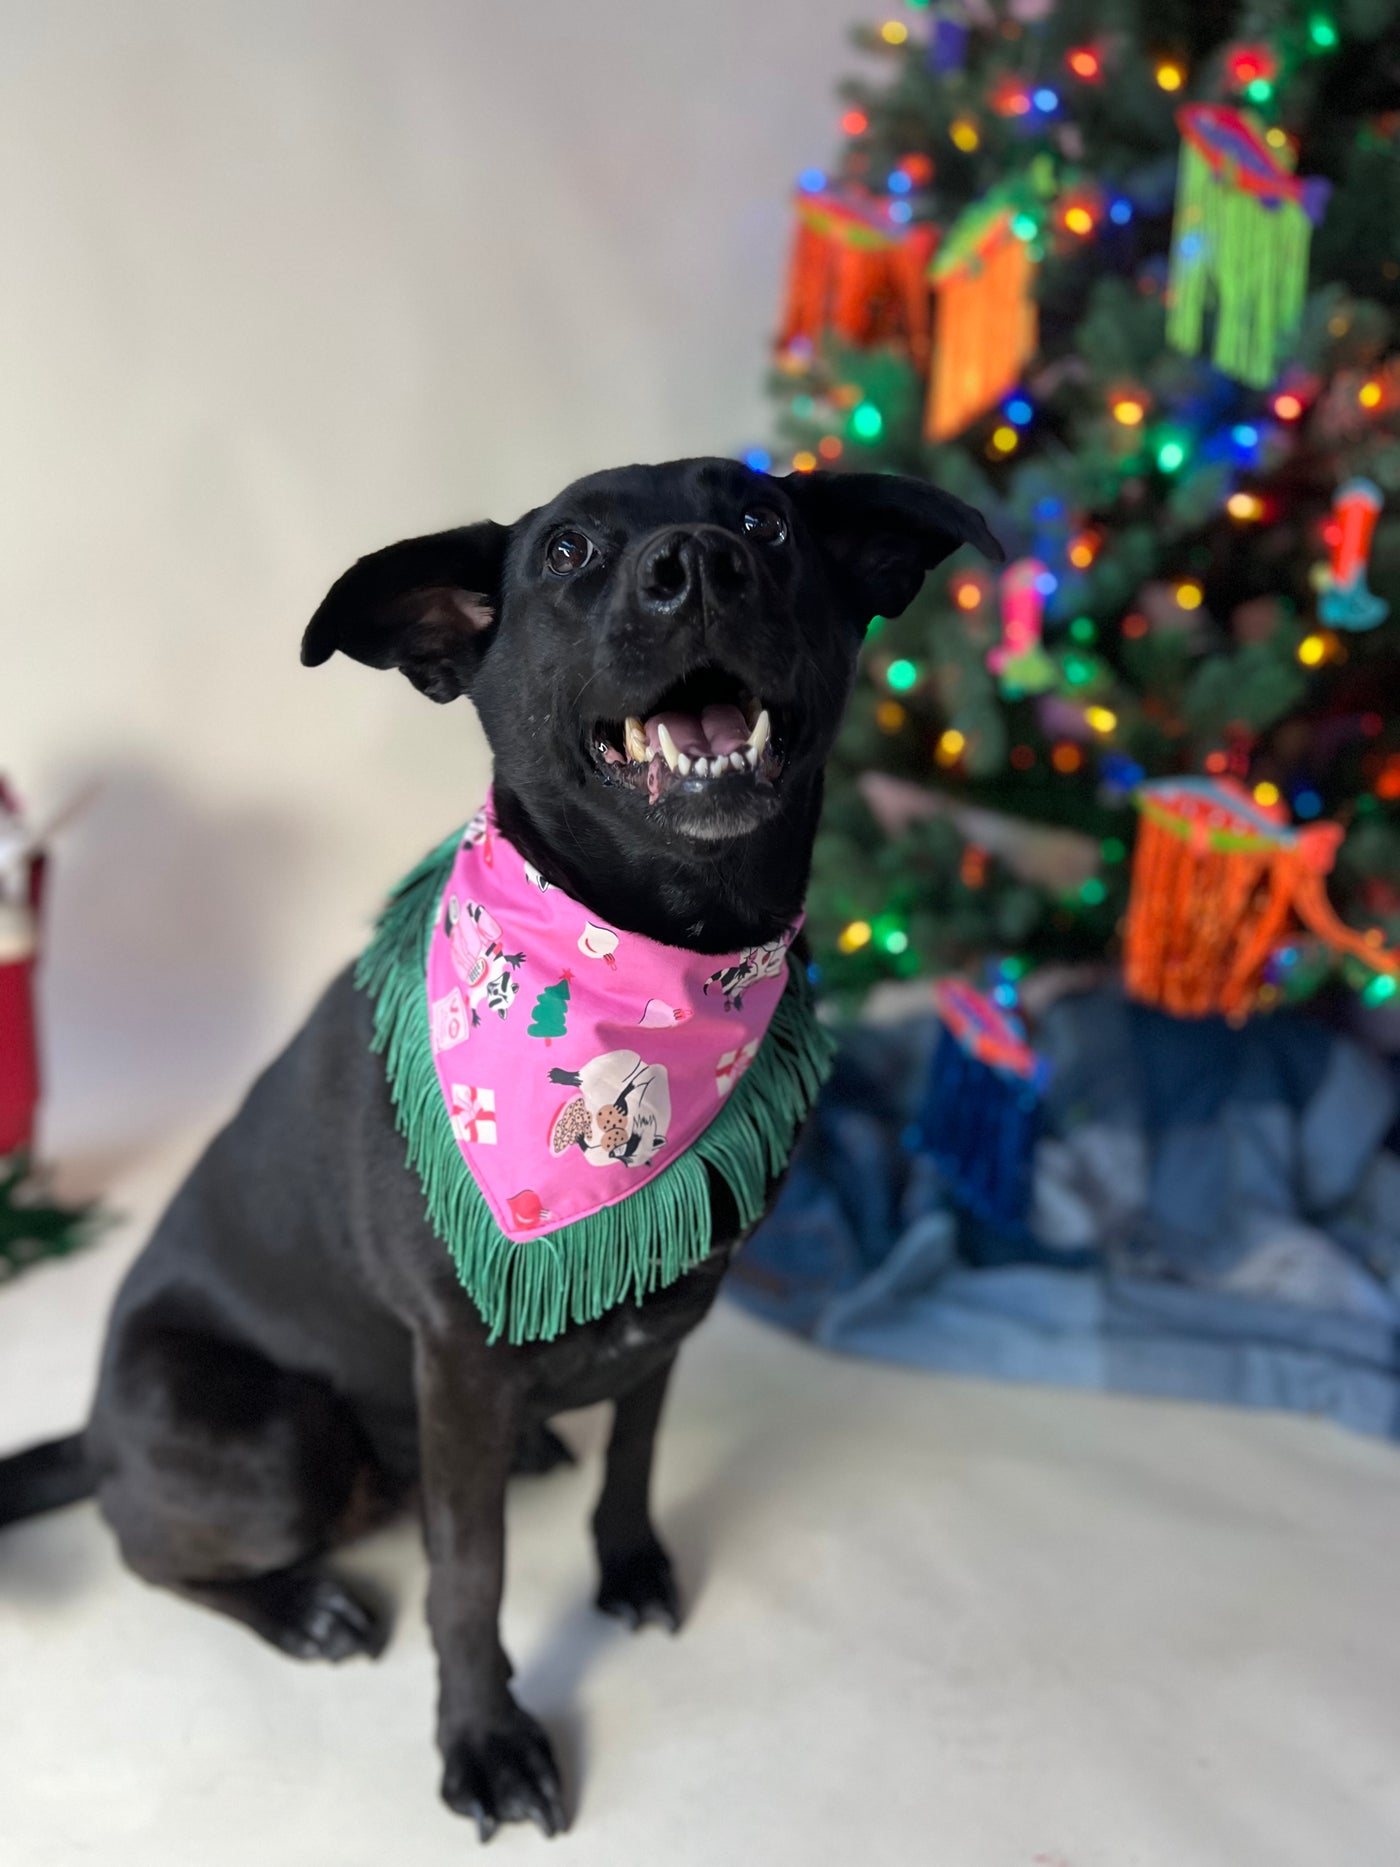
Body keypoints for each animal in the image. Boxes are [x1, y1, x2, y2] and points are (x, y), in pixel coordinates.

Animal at [5, 455, 1000, 1837]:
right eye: (568, 550)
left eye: (763, 518)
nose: (698, 564)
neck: (663, 954)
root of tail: (95, 1428)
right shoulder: (459, 1360)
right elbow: (466, 1581)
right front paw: (484, 1739)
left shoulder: (670, 1304)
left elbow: (633, 1460)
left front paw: (628, 1565)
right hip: (271, 1437)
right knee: (147, 1546)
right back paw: (301, 1604)